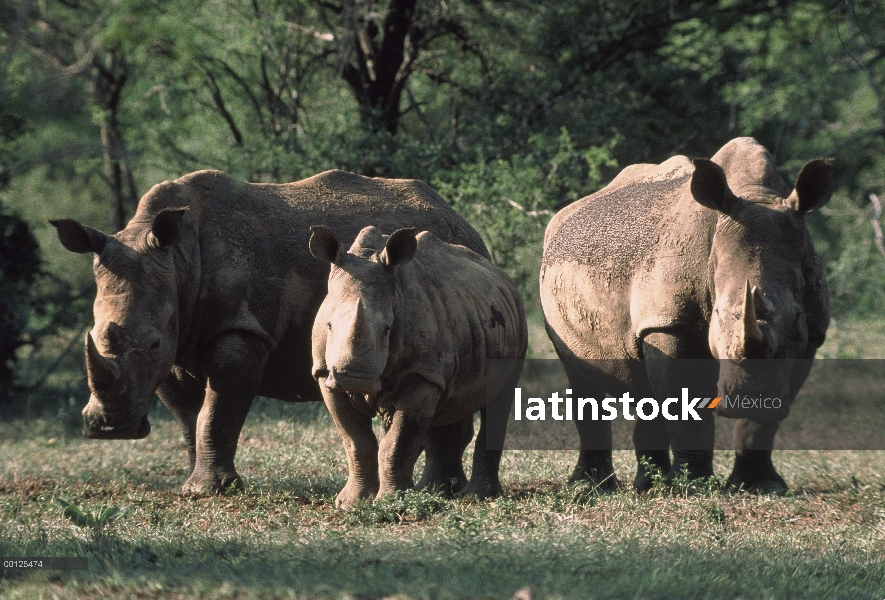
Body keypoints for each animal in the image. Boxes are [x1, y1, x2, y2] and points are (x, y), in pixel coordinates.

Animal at [50, 169, 490, 492]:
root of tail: (461, 220)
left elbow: (218, 409)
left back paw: (441, 490)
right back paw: (442, 488)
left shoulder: (242, 327)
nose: (110, 429)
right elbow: (188, 417)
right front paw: (191, 485)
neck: (177, 260)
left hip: (452, 265)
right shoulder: (176, 337)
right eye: (96, 336)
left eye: (153, 342)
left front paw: (211, 491)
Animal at [308, 227, 524, 508]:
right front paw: (351, 503)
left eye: (387, 329)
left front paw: (391, 502)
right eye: (329, 325)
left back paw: (475, 496)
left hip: (513, 319)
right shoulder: (325, 373)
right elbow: (356, 441)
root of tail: (502, 276)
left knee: (498, 399)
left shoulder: (420, 372)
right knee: (447, 405)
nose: (354, 378)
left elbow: (398, 442)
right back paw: (434, 492)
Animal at [536, 139, 832, 492]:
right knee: (581, 375)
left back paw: (648, 485)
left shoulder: (811, 337)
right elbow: (685, 407)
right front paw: (693, 486)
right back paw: (594, 486)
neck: (756, 195)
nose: (750, 398)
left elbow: (763, 423)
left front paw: (759, 487)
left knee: (643, 388)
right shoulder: (670, 323)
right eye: (719, 315)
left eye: (798, 317)